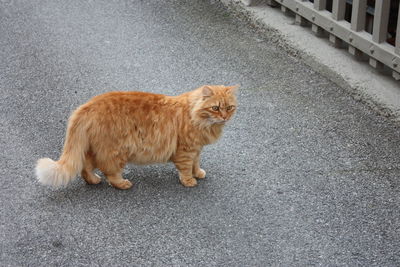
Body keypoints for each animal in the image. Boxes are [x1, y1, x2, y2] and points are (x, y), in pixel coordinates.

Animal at [36, 85, 238, 189]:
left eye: (229, 108)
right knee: (109, 172)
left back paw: (93, 180)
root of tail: (87, 105)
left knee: (85, 167)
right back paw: (123, 183)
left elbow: (196, 164)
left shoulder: (197, 150)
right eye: (215, 108)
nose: (225, 117)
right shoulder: (186, 150)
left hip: (97, 149)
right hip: (116, 151)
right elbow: (186, 168)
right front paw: (189, 181)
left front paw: (198, 173)